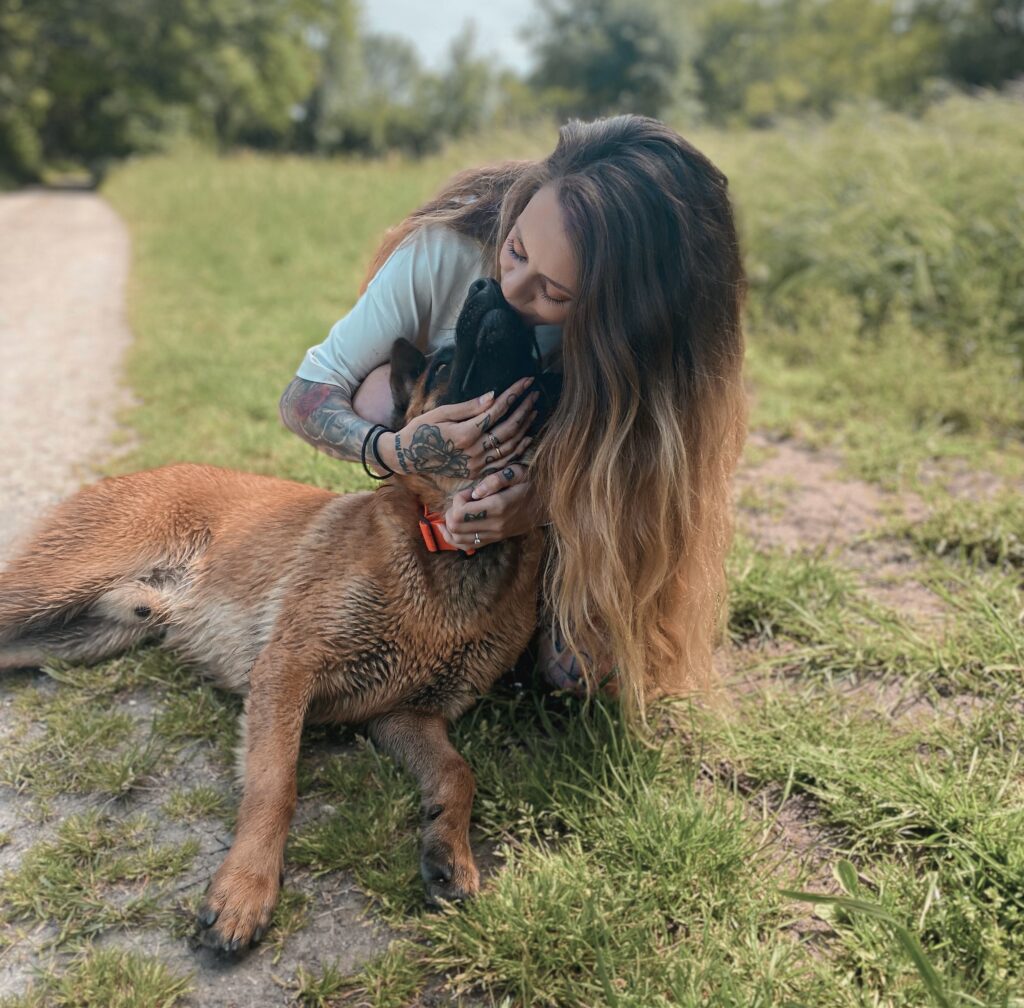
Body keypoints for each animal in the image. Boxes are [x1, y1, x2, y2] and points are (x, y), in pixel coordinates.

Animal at [0, 276, 557, 954]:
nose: (488, 283)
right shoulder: (287, 672)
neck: (450, 548)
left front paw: (448, 850)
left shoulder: (408, 717)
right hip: (50, 590)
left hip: (76, 636)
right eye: (445, 363)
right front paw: (246, 889)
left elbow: (458, 773)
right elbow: (276, 784)